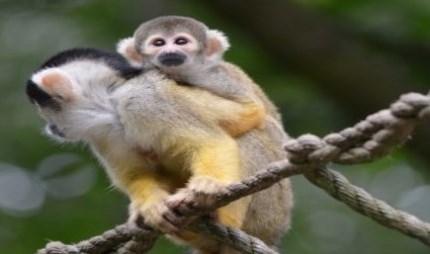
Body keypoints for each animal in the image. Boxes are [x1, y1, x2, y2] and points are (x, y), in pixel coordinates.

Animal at [26, 48, 292, 253]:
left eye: (45, 112)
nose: (51, 128)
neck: (111, 102)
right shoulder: (103, 135)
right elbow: (136, 175)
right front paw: (151, 207)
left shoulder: (142, 100)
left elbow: (211, 142)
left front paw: (207, 186)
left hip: (271, 212)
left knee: (254, 132)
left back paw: (225, 219)